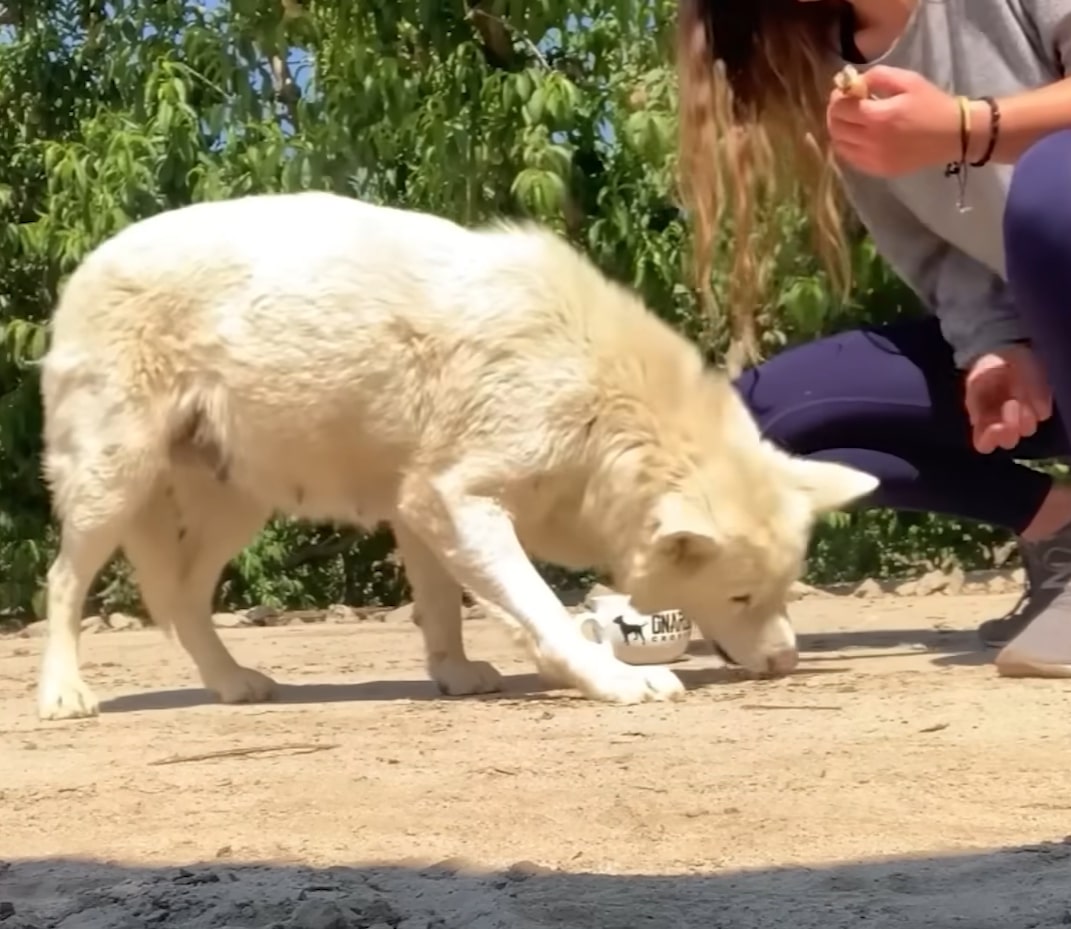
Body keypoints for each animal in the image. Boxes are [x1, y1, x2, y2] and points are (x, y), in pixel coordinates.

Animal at [35, 193, 878, 720]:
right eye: (740, 595)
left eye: (784, 591)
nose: (786, 663)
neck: (598, 397)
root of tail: (89, 261)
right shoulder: (459, 500)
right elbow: (543, 610)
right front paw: (611, 678)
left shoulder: (420, 507)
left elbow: (441, 608)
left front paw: (454, 674)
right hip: (114, 483)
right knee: (64, 581)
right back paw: (64, 692)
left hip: (237, 503)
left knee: (180, 597)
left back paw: (230, 681)